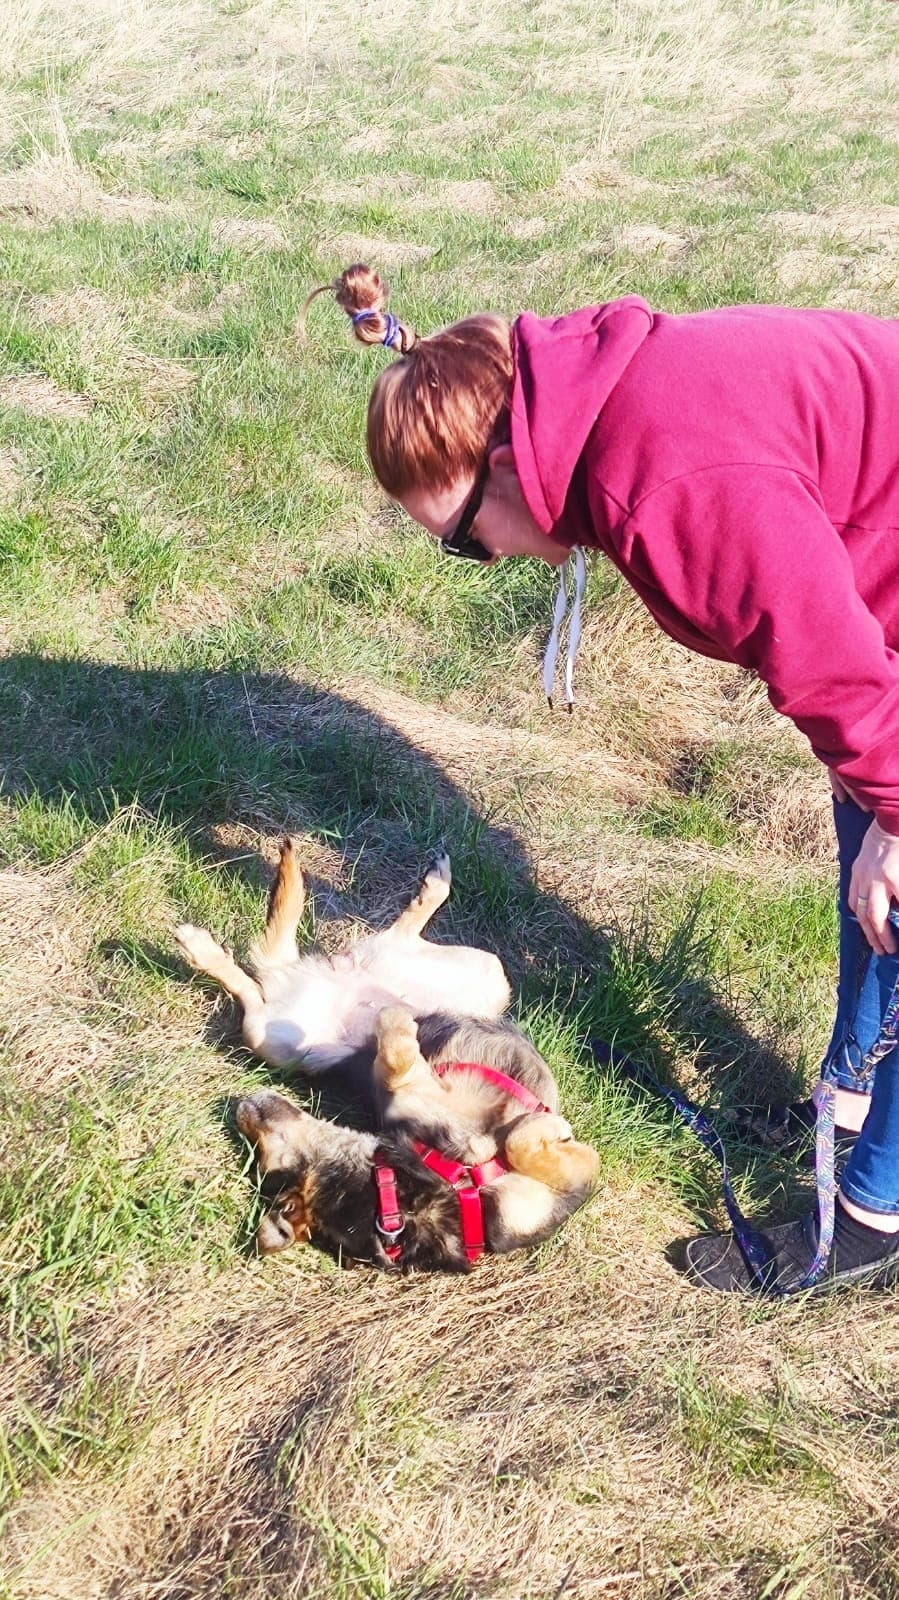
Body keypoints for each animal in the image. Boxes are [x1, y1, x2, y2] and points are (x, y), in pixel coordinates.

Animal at [176, 841, 598, 1270]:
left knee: (288, 963)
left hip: (485, 975)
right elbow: (401, 1057)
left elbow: (517, 1140)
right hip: (277, 1041)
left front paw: (545, 1128)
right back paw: (206, 944)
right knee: (260, 981)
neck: (451, 1184)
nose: (244, 1108)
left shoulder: (579, 1173)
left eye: (273, 1161)